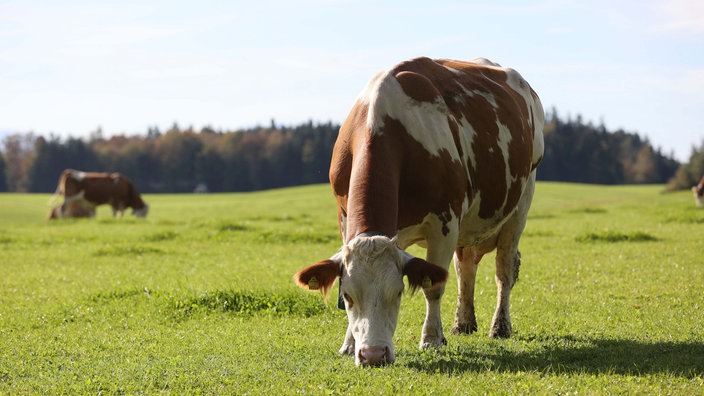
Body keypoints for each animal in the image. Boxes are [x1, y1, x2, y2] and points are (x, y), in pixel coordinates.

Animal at [292, 55, 544, 366]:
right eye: (349, 296)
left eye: (398, 293)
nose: (373, 355)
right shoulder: (344, 217)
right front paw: (349, 344)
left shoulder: (444, 224)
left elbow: (433, 286)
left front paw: (431, 339)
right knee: (466, 268)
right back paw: (463, 323)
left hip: (521, 202)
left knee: (504, 270)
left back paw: (500, 326)